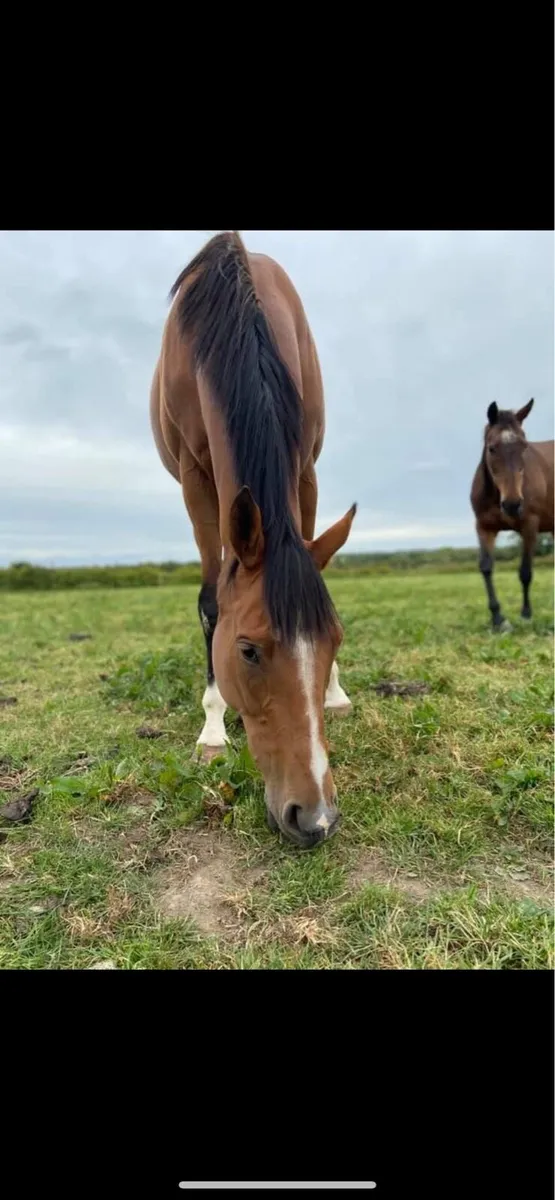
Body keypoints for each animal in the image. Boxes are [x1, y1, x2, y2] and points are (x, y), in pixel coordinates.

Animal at [150, 232, 357, 848]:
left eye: (335, 638)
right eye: (247, 651)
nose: (315, 819)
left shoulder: (305, 466)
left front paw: (333, 689)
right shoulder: (196, 478)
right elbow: (212, 599)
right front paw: (214, 725)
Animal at [470, 398, 554, 630]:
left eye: (524, 446)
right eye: (491, 448)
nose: (512, 504)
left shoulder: (530, 526)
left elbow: (525, 572)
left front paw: (526, 615)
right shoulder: (484, 527)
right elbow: (486, 567)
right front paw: (498, 619)